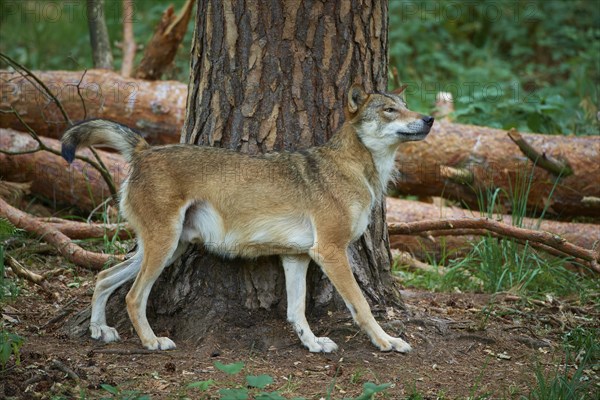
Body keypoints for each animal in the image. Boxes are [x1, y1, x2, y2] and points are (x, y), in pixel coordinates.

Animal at [61, 83, 434, 352]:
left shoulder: (297, 257)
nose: (429, 118)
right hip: (163, 249)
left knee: (104, 277)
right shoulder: (330, 252)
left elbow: (296, 311)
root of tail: (144, 150)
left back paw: (99, 330)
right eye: (390, 110)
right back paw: (152, 341)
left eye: (405, 105)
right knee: (133, 296)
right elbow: (362, 306)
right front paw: (388, 342)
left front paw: (312, 344)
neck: (358, 170)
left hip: (167, 249)